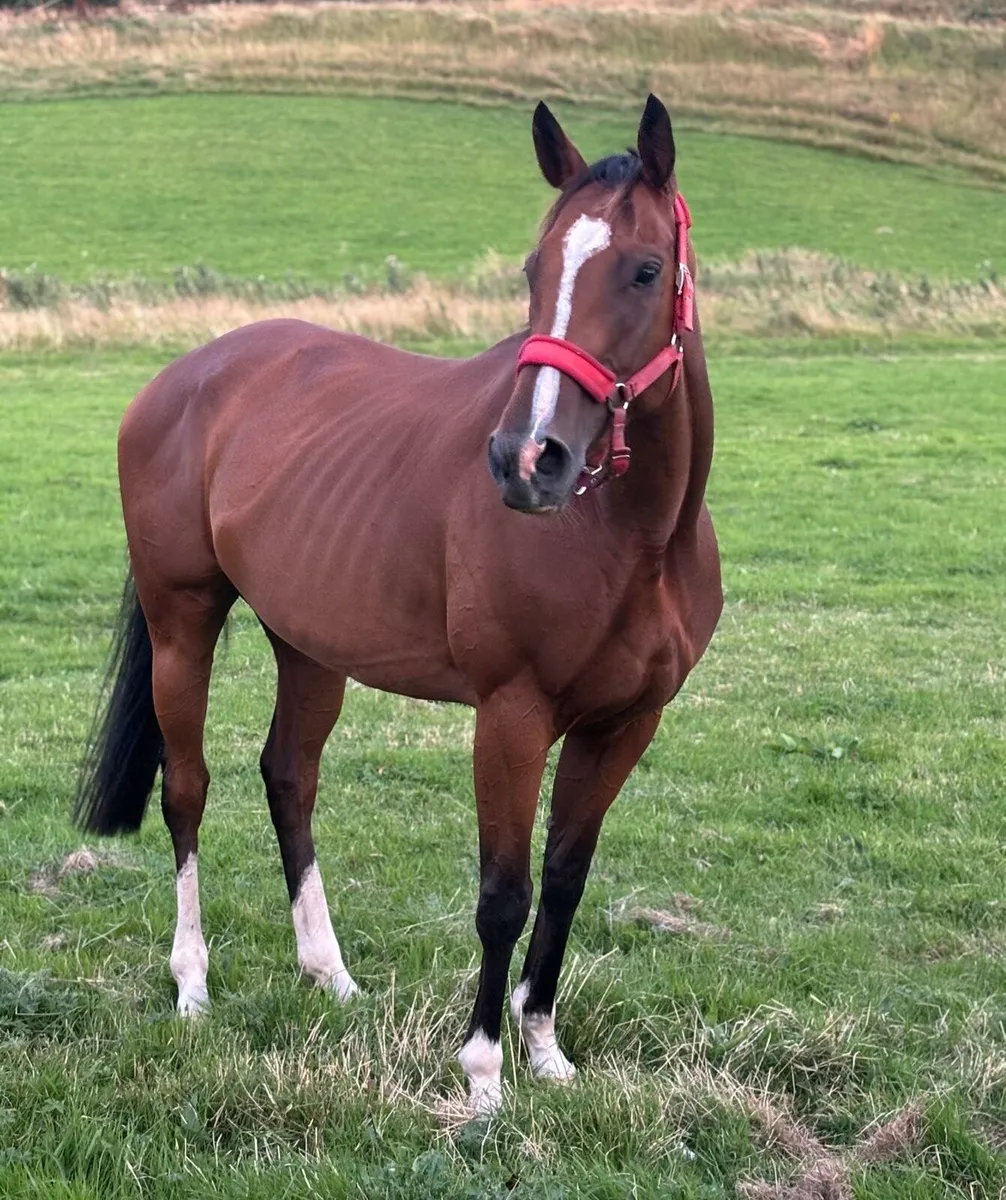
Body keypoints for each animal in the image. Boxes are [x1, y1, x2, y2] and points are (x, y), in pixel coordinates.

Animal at [75, 94, 723, 1114]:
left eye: (646, 269)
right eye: (535, 269)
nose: (526, 459)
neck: (636, 539)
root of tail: (181, 378)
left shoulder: (625, 724)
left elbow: (564, 880)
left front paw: (547, 1050)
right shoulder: (511, 716)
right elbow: (503, 894)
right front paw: (485, 1076)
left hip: (308, 644)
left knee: (289, 777)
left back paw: (329, 973)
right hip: (185, 623)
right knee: (189, 791)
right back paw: (192, 986)